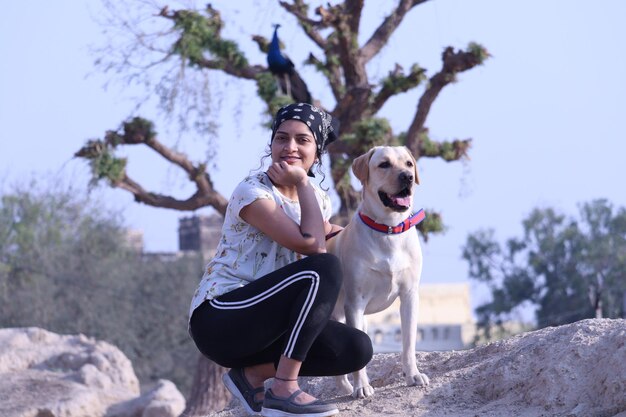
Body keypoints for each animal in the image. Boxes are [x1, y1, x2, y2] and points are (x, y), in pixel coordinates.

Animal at [326, 145, 428, 396]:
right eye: (384, 165)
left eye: (409, 164)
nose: (407, 177)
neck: (388, 229)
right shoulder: (355, 302)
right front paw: (362, 387)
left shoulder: (410, 295)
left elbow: (409, 343)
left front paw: (413, 375)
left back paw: (344, 387)